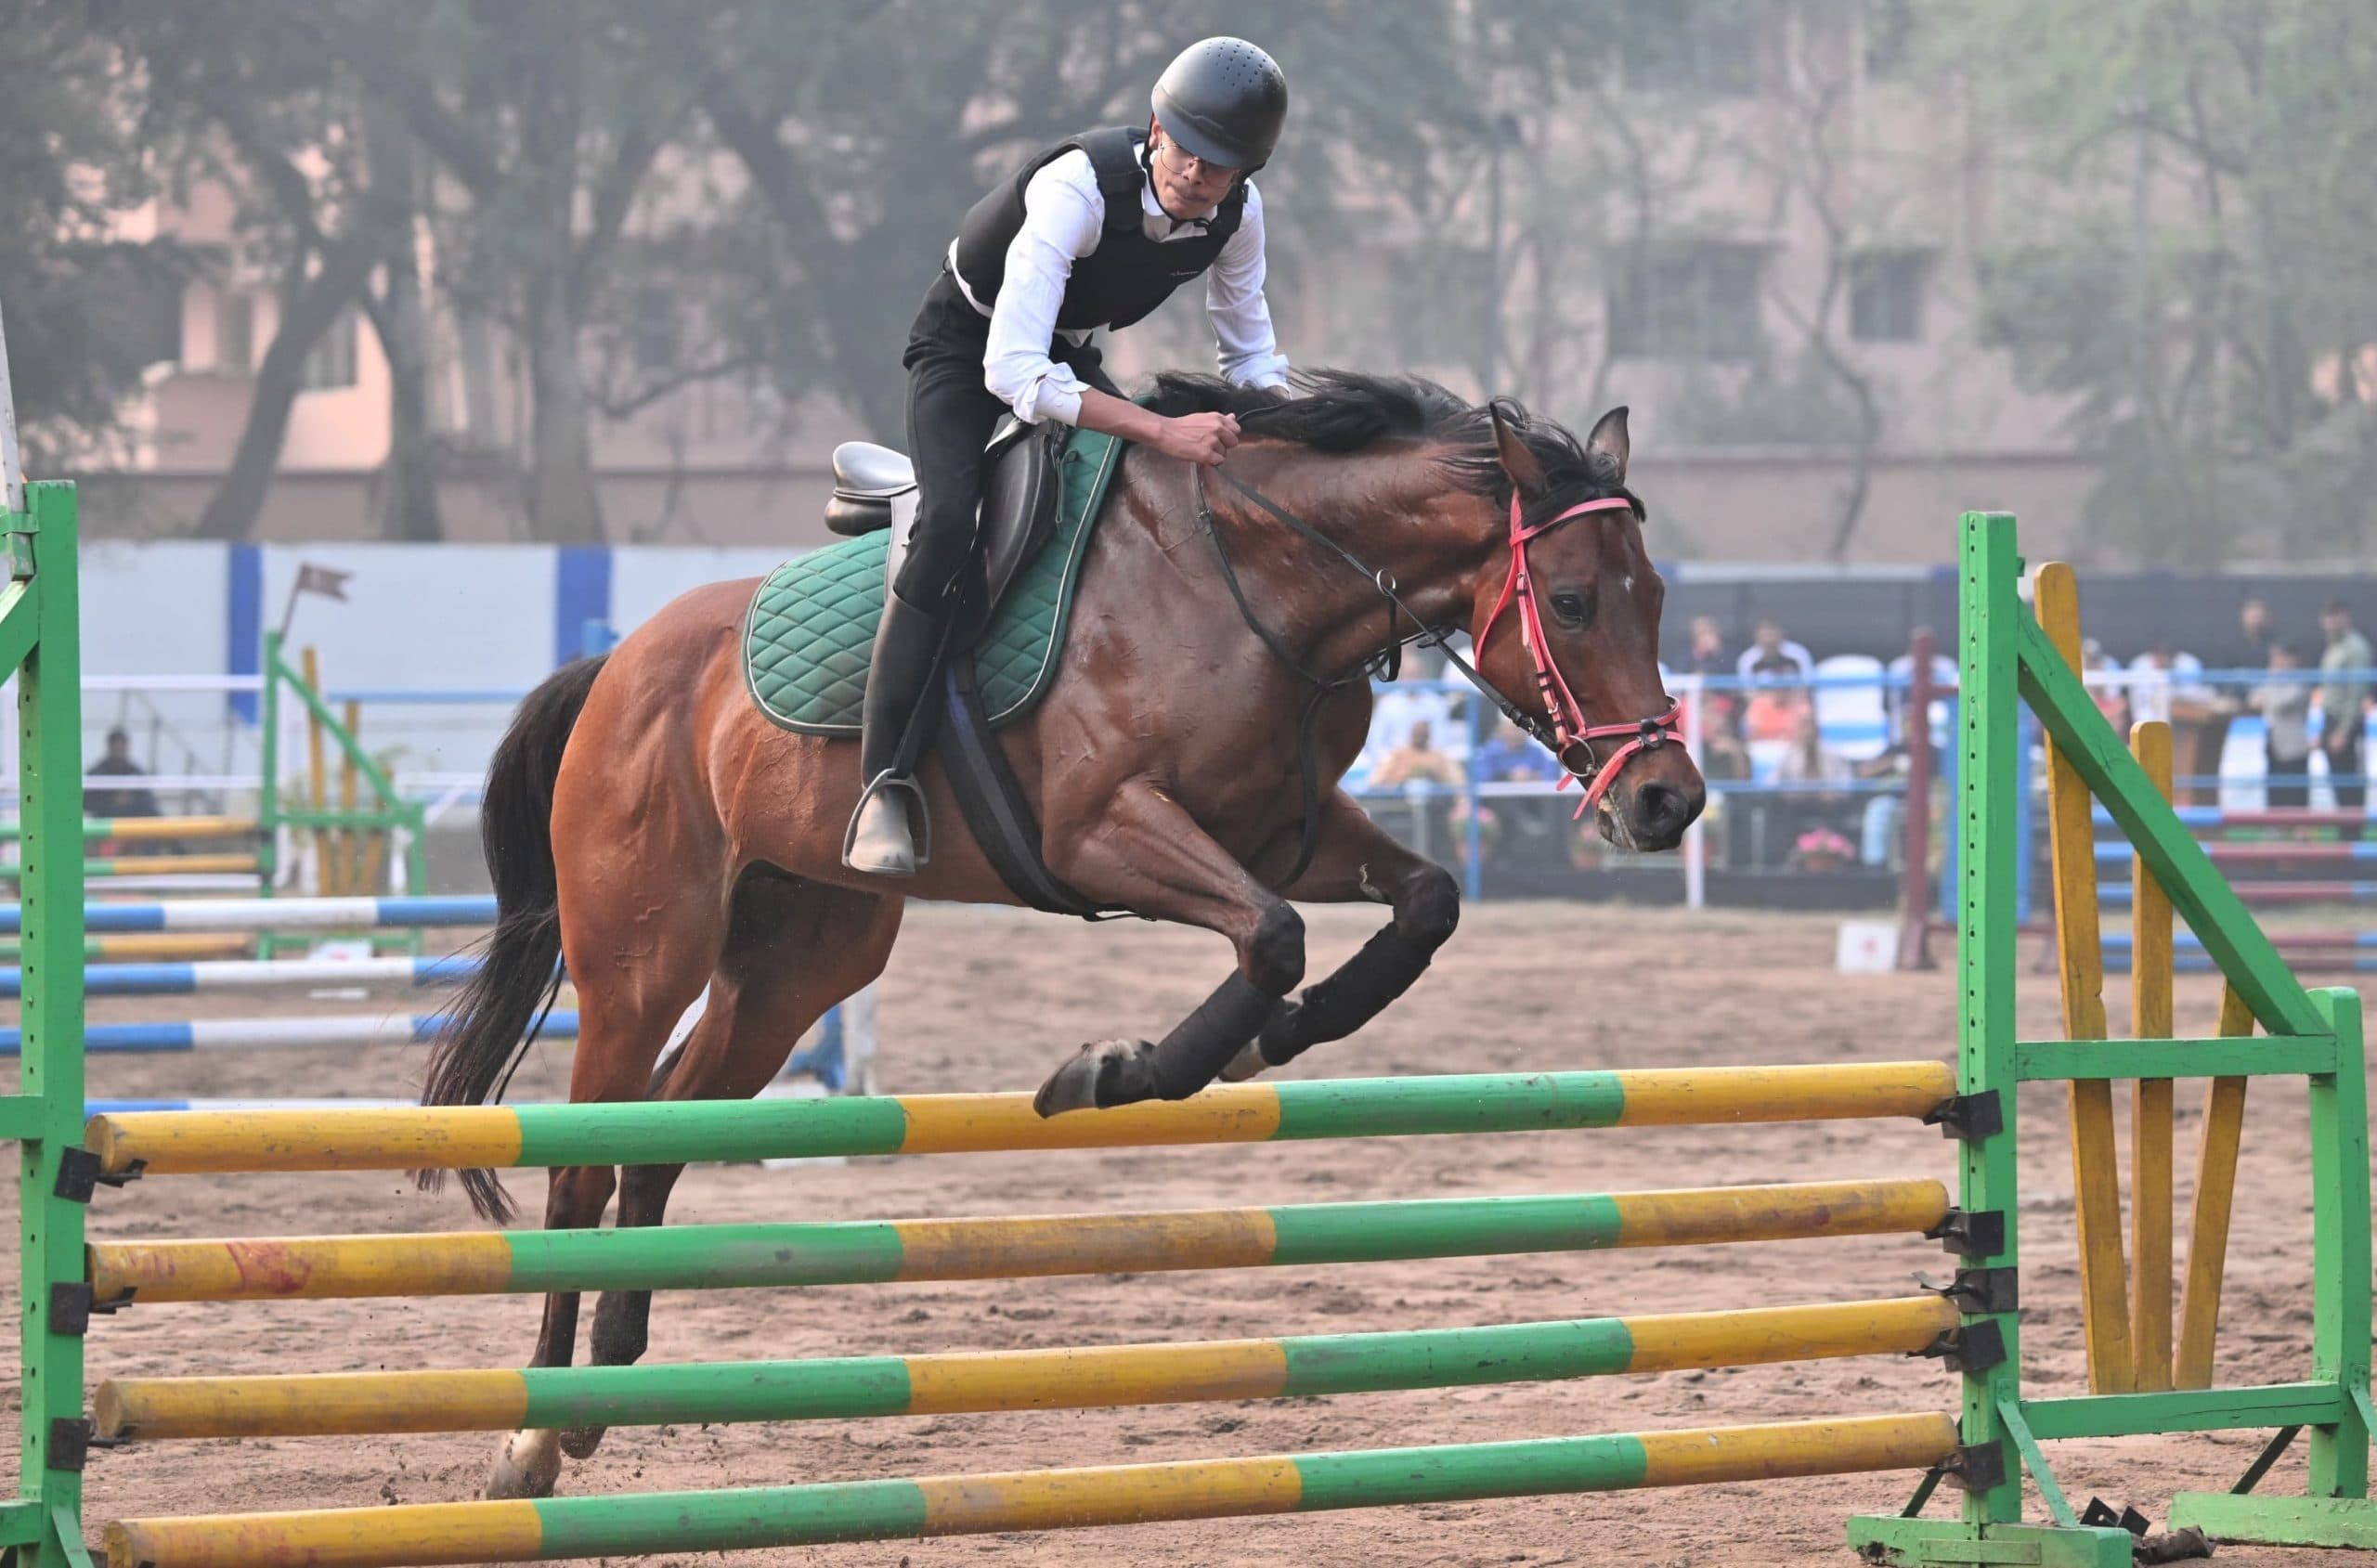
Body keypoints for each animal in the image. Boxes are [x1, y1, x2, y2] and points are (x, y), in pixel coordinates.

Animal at [422, 369, 1706, 1499]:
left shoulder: (1285, 830)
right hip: (643, 961)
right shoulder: (1103, 831)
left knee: (659, 1143)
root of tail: (617, 663)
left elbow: (1421, 904)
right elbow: (1272, 938)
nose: (1668, 802)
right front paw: (1118, 1070)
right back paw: (530, 1442)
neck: (1258, 584)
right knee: (583, 1164)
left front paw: (1263, 1043)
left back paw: (597, 1404)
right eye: (1574, 602)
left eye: (1655, 597)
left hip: (796, 963)